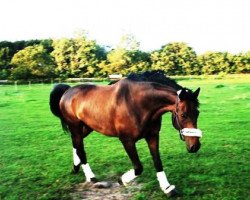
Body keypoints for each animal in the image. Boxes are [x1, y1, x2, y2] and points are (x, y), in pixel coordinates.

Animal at [48, 70, 201, 197]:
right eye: (183, 115)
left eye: (197, 113)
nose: (195, 146)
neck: (139, 104)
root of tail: (68, 91)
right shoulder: (127, 140)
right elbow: (138, 168)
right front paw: (122, 180)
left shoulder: (152, 136)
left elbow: (158, 162)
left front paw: (167, 188)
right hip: (75, 126)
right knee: (80, 148)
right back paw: (90, 176)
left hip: (87, 127)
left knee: (75, 144)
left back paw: (75, 168)